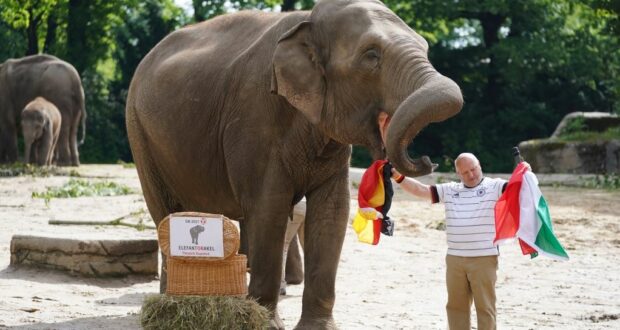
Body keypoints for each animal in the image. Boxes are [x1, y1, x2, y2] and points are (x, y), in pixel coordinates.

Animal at [126, 0, 462, 328]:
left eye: (425, 46)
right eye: (371, 55)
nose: (428, 159)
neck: (309, 20)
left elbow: (332, 212)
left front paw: (317, 327)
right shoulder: (255, 116)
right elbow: (269, 208)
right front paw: (265, 323)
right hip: (139, 132)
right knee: (164, 210)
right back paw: (170, 305)